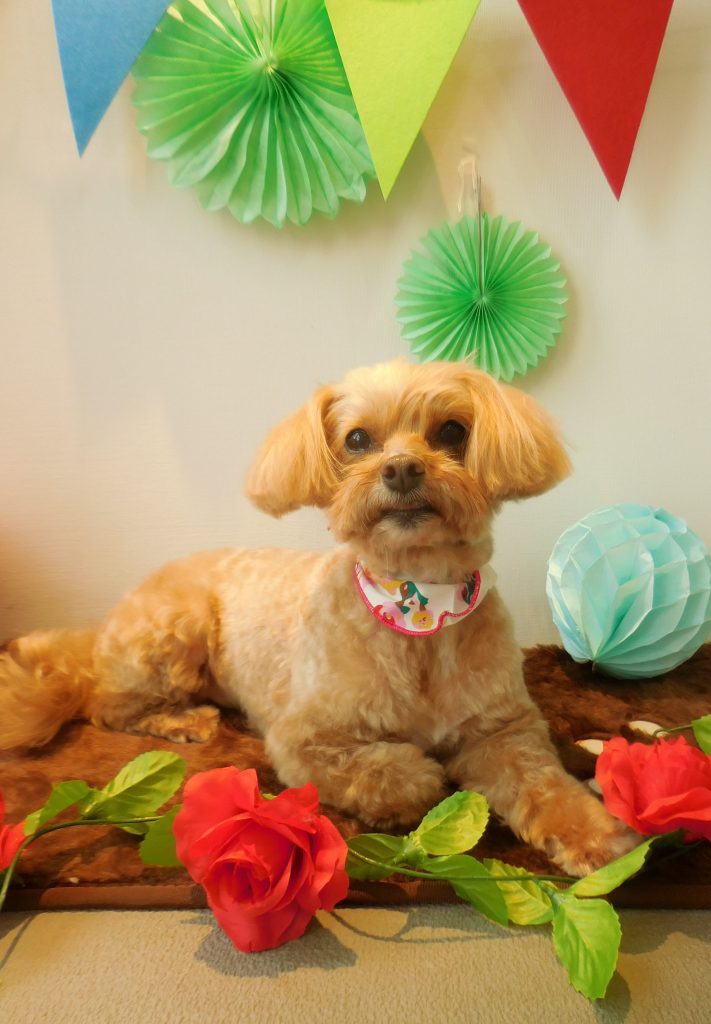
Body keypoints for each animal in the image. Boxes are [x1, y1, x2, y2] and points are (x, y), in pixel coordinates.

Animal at [0, 359, 635, 875]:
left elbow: (544, 782)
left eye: (453, 431)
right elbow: (396, 773)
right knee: (107, 706)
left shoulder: (502, 729)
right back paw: (184, 720)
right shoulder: (302, 740)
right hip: (176, 626)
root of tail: (99, 636)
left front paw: (598, 835)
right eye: (357, 439)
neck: (416, 610)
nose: (402, 468)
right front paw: (424, 774)